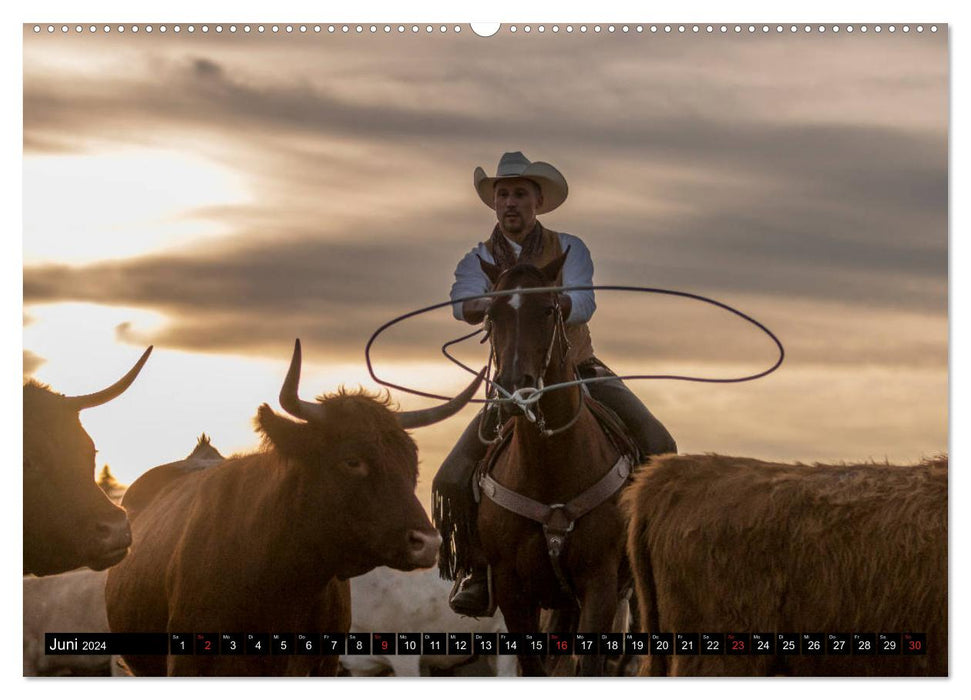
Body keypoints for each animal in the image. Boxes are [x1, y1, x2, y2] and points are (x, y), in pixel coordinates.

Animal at [474, 250, 636, 672]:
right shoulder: (513, 590)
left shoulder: (600, 586)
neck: (551, 468)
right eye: (492, 313)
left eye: (548, 309)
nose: (515, 387)